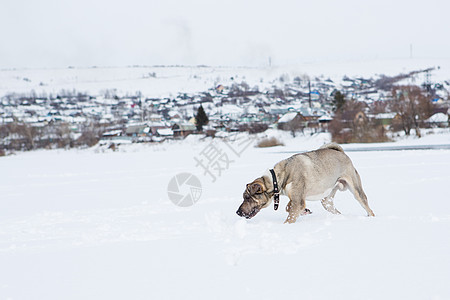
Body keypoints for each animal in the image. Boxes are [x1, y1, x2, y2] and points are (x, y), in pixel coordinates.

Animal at [237, 143, 374, 223]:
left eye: (247, 197)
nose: (238, 212)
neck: (278, 178)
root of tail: (341, 152)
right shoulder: (297, 199)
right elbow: (289, 207)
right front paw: (305, 211)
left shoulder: (298, 200)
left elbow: (290, 216)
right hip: (327, 200)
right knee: (335, 209)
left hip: (356, 190)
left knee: (368, 208)